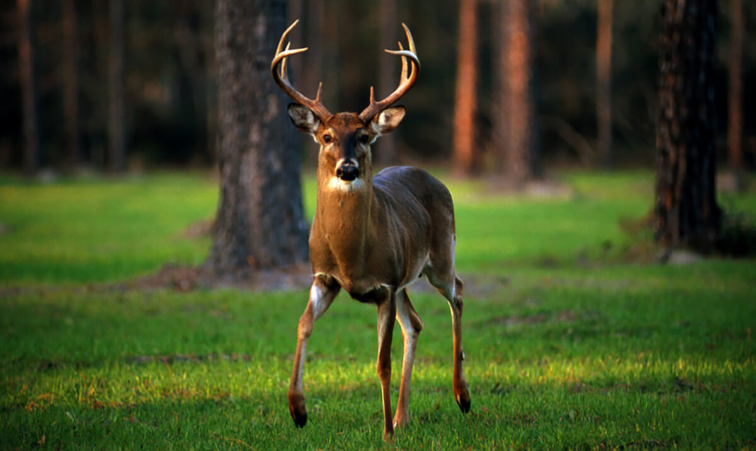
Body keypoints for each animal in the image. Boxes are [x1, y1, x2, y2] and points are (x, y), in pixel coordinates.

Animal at [272, 20, 470, 442]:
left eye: (363, 137)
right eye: (327, 137)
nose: (346, 168)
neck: (351, 258)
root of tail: (433, 177)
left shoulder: (384, 286)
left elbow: (382, 363)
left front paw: (385, 435)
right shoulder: (324, 277)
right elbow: (302, 326)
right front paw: (298, 410)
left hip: (440, 257)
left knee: (458, 293)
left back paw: (461, 396)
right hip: (407, 277)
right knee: (415, 324)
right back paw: (403, 417)